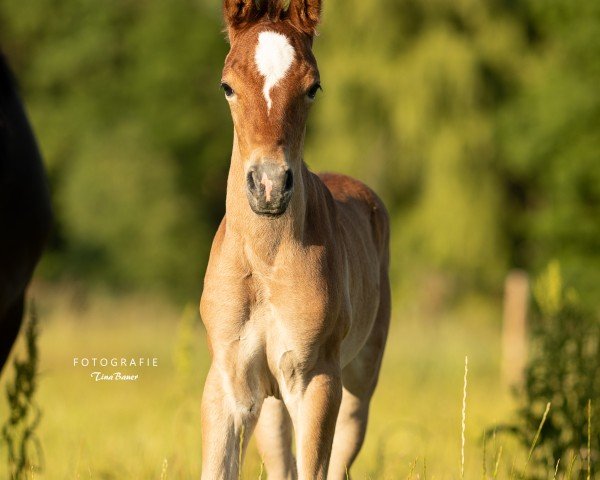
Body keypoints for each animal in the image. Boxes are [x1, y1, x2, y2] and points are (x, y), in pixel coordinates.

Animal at [199, 1, 392, 478]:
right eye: (227, 86)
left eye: (313, 88)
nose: (268, 186)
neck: (265, 265)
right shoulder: (228, 382)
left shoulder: (316, 380)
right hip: (271, 403)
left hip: (358, 385)